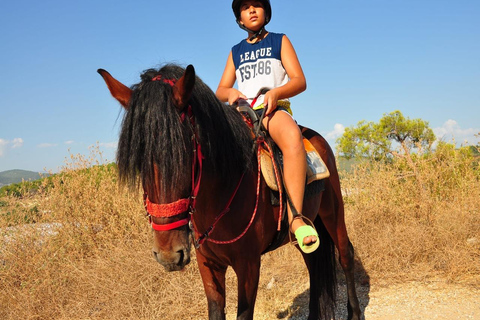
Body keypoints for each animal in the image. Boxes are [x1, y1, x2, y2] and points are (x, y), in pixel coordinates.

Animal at [98, 63, 360, 318]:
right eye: (139, 162)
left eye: (185, 156)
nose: (168, 255)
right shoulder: (208, 264)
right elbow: (216, 309)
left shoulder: (249, 265)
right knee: (314, 264)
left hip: (333, 212)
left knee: (345, 254)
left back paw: (355, 312)